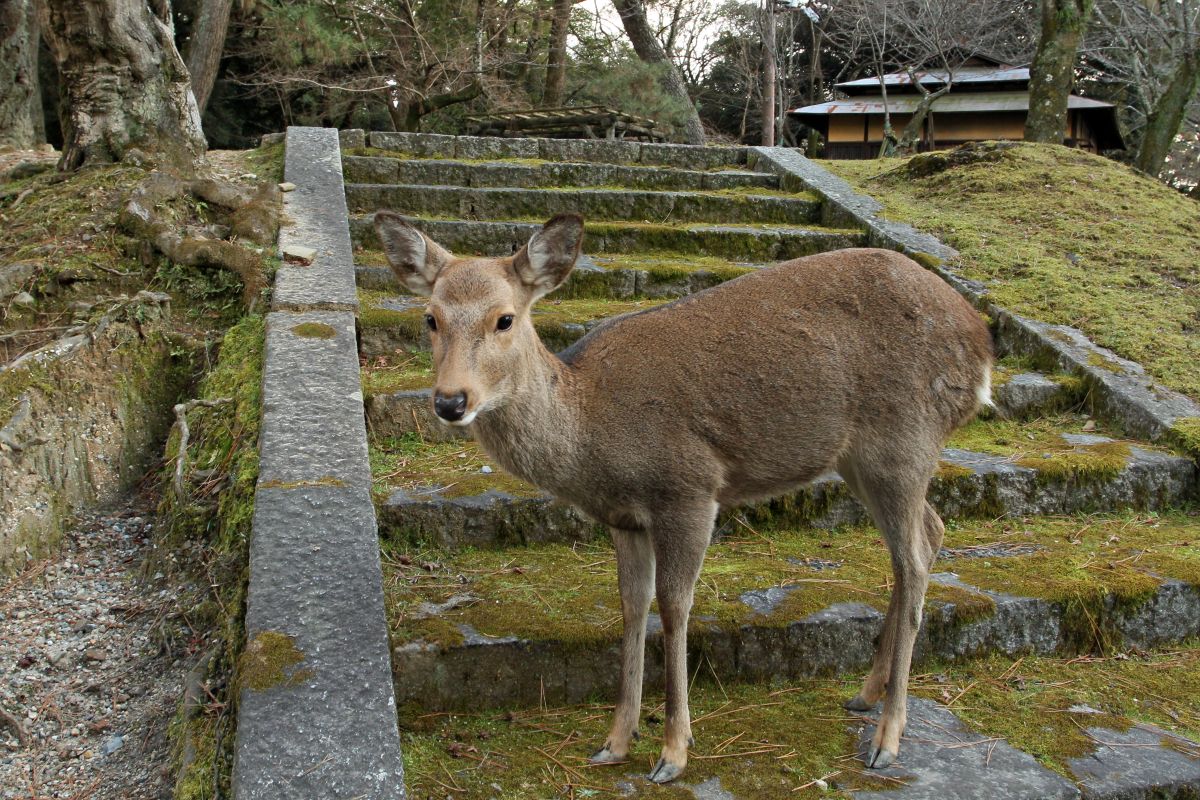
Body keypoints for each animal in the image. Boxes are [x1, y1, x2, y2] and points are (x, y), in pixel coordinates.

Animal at [374, 209, 993, 786]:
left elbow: (674, 608)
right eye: (431, 317)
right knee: (930, 532)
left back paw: (888, 738)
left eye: (505, 318)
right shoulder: (624, 518)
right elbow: (631, 607)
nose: (450, 401)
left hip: (904, 438)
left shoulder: (689, 489)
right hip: (860, 460)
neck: (590, 430)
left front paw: (673, 752)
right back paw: (865, 694)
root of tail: (982, 348)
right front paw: (613, 742)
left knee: (915, 558)